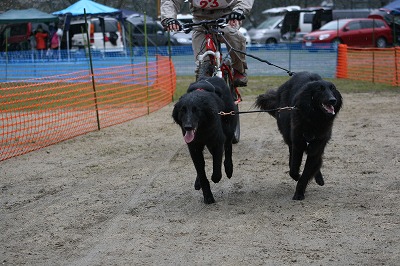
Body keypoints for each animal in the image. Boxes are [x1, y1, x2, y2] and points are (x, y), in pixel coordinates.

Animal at [173, 76, 238, 204]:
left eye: (196, 110)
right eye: (183, 110)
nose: (188, 127)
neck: (201, 130)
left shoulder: (217, 142)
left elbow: (216, 168)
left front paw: (216, 177)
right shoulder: (194, 147)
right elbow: (201, 171)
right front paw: (207, 196)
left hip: (228, 128)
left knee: (228, 147)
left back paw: (229, 168)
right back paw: (198, 181)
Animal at [255, 71, 342, 201]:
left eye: (333, 89)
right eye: (320, 89)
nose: (333, 100)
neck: (314, 119)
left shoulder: (317, 145)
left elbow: (307, 171)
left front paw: (299, 192)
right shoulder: (298, 143)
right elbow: (294, 168)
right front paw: (297, 178)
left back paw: (318, 178)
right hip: (288, 134)